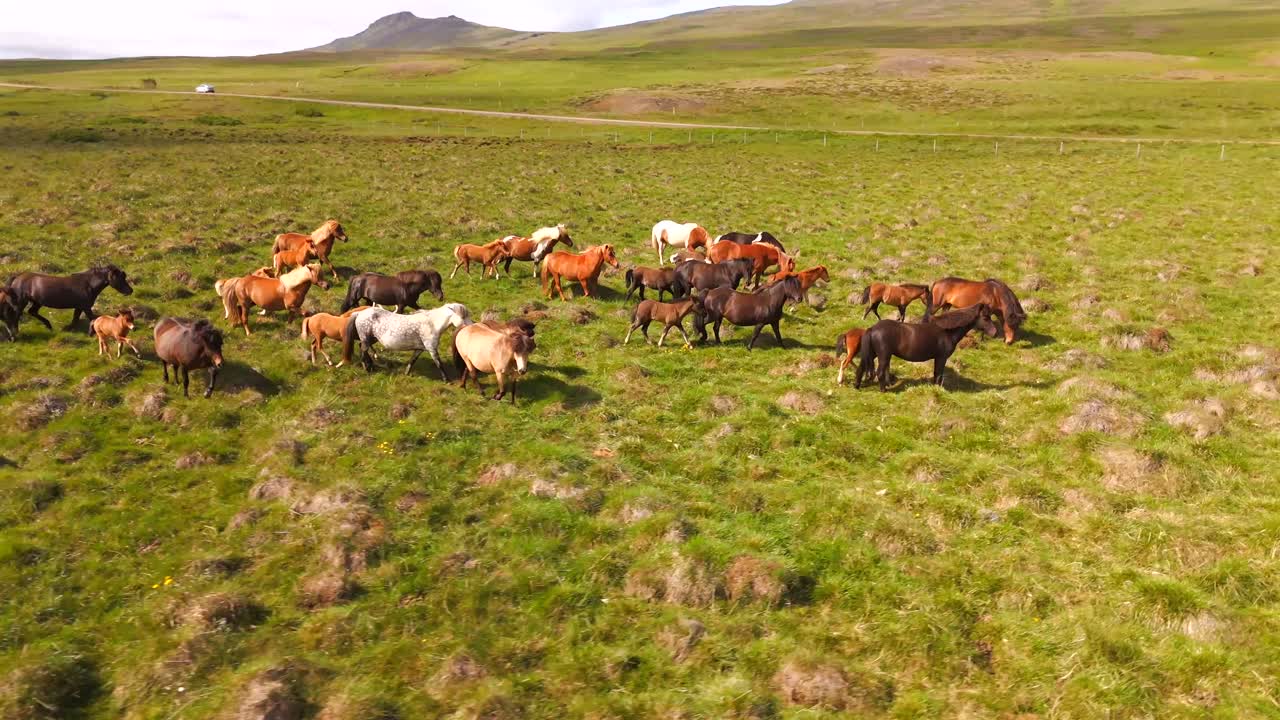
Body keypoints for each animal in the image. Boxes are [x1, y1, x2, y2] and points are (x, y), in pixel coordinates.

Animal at [341, 303, 472, 379]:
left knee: (361, 347)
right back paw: (367, 369)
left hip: (372, 339)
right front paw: (447, 380)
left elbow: (412, 361)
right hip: (366, 338)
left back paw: (370, 365)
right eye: (463, 316)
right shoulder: (432, 349)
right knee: (363, 351)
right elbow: (439, 364)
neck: (432, 324)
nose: (472, 325)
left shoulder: (419, 349)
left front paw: (407, 373)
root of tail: (359, 313)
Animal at [856, 304, 998, 391]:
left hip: (873, 354)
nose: (995, 333)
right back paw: (884, 390)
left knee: (861, 368)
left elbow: (936, 375)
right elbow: (938, 375)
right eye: (985, 317)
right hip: (884, 355)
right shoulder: (941, 358)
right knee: (879, 372)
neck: (946, 330)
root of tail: (873, 328)